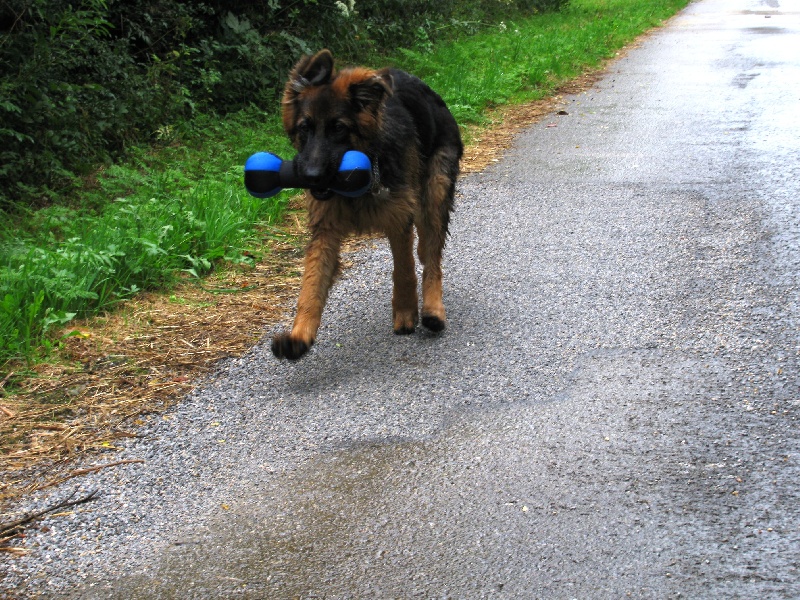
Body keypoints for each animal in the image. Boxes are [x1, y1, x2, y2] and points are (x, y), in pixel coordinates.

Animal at [276, 49, 462, 358]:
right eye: (305, 128)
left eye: (338, 128)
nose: (311, 177)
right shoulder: (325, 230)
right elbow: (311, 286)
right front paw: (299, 335)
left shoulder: (398, 218)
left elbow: (404, 270)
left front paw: (405, 312)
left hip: (436, 190)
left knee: (432, 258)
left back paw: (433, 309)